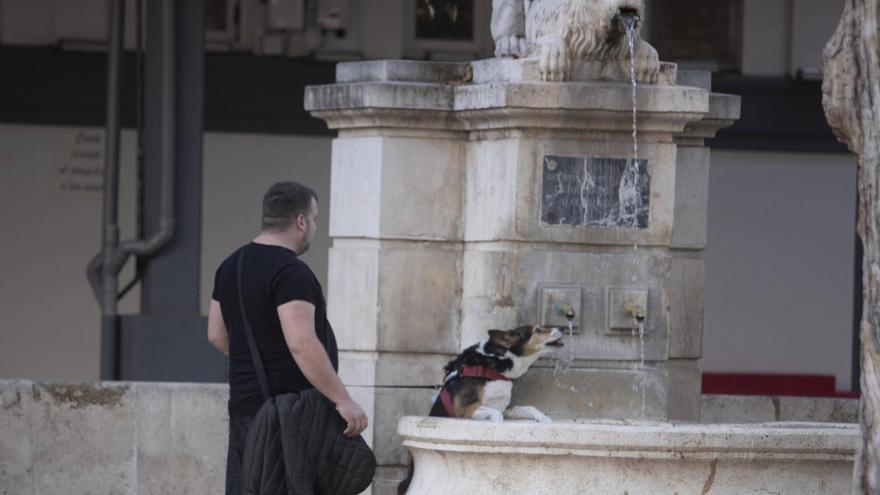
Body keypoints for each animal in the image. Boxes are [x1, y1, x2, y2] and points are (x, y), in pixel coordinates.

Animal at [398, 326, 564, 495]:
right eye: (537, 330)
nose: (561, 328)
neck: (495, 365)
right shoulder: (465, 408)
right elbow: (496, 415)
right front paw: (498, 429)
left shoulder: (504, 407)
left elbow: (530, 408)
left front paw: (545, 420)